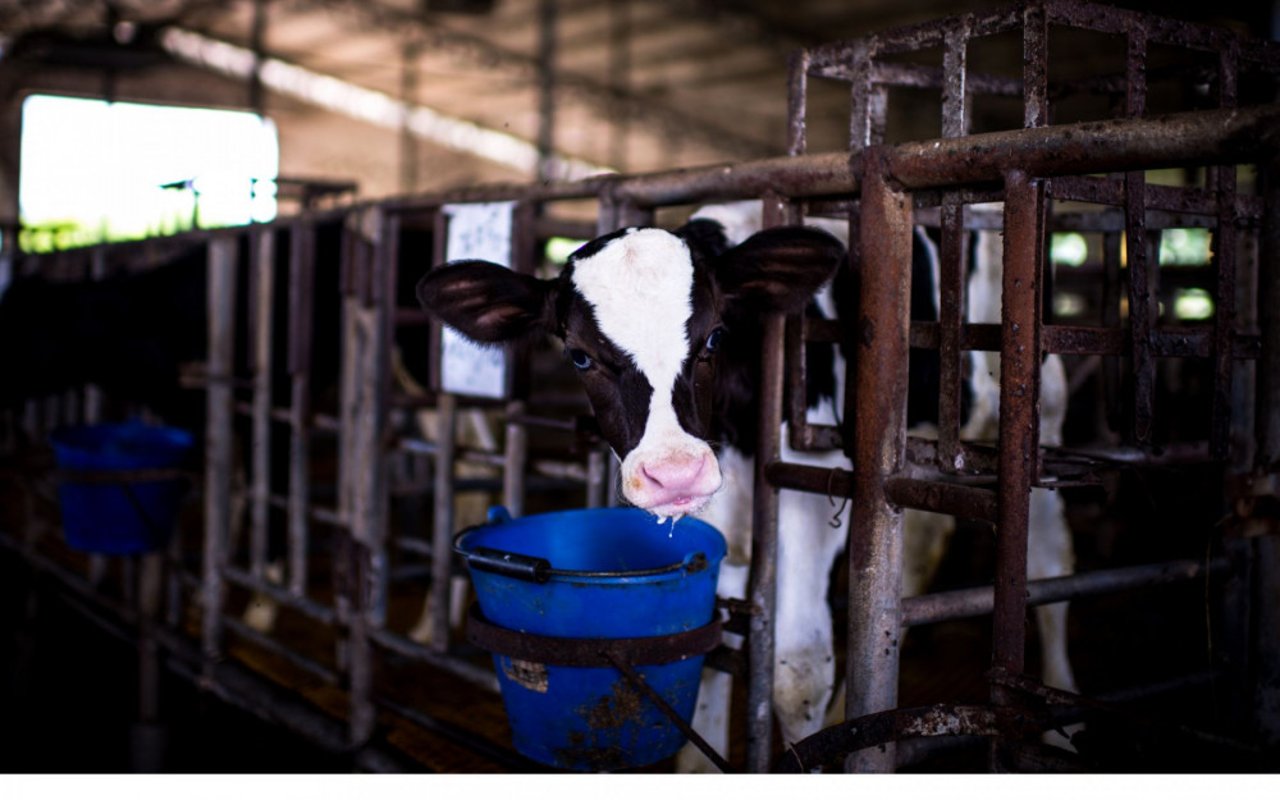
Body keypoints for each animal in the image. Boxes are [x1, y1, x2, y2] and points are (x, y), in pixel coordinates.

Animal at [419, 202, 1080, 773]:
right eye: (579, 356)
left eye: (715, 336)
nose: (675, 471)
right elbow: (712, 637)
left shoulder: (808, 488)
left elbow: (796, 670)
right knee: (917, 555)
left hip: (1038, 424)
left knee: (1050, 567)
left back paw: (1056, 725)